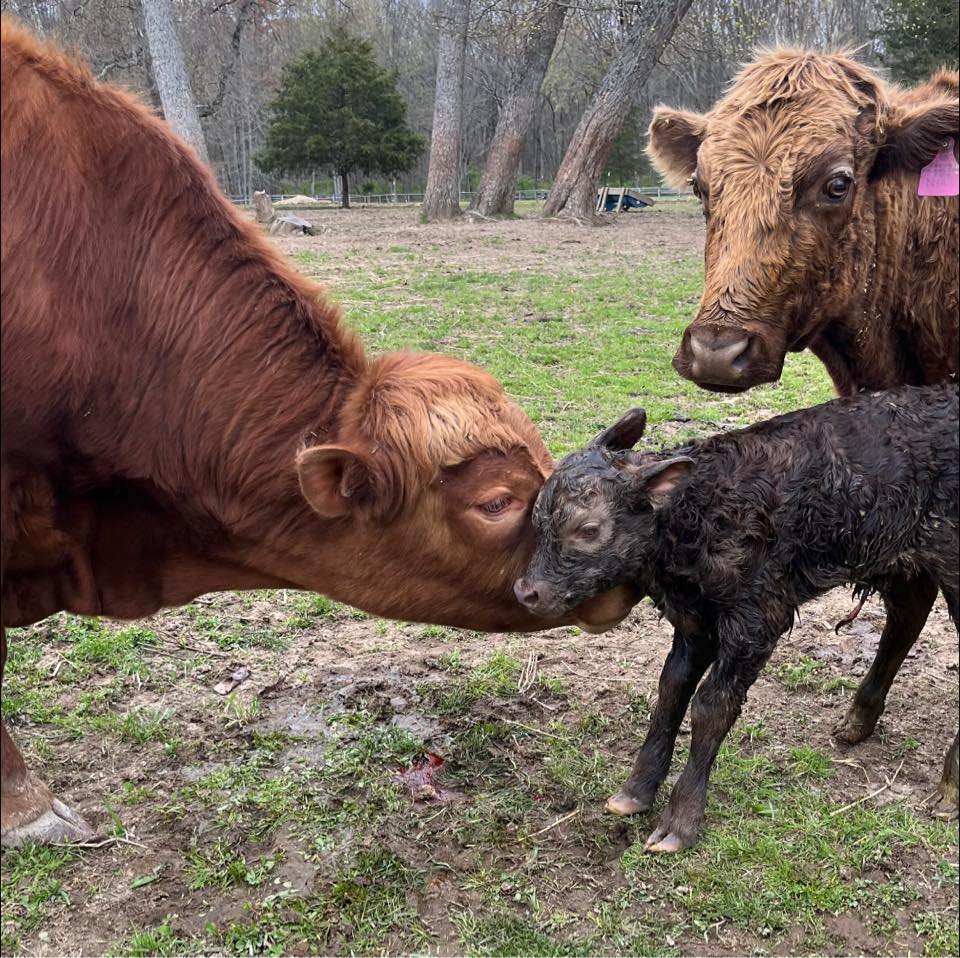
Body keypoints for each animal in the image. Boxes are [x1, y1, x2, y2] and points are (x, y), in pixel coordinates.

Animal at [515, 384, 960, 851]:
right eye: (537, 517)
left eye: (588, 530)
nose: (527, 591)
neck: (701, 516)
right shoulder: (693, 622)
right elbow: (671, 690)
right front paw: (633, 793)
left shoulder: (757, 617)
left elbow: (711, 706)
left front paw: (678, 823)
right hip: (905, 558)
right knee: (908, 613)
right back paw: (856, 722)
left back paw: (948, 791)